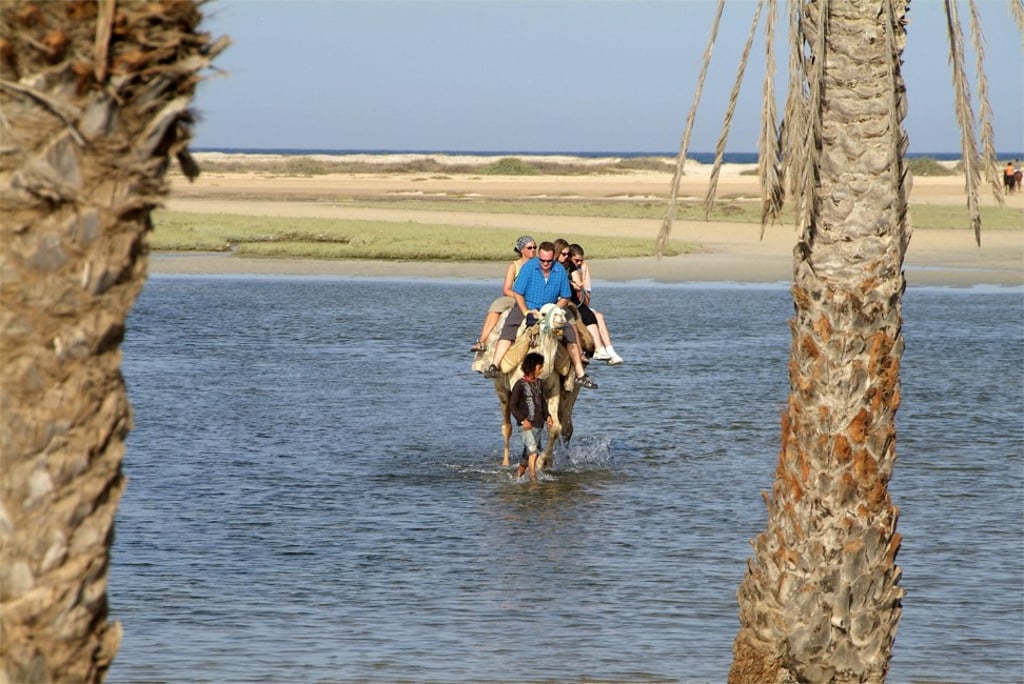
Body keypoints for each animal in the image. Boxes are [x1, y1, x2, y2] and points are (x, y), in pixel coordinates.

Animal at [472, 303, 589, 471]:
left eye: (561, 311)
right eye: (543, 313)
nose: (560, 317)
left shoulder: (552, 390)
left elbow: (555, 427)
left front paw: (541, 462)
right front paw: (535, 461)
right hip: (501, 390)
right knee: (507, 426)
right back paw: (506, 462)